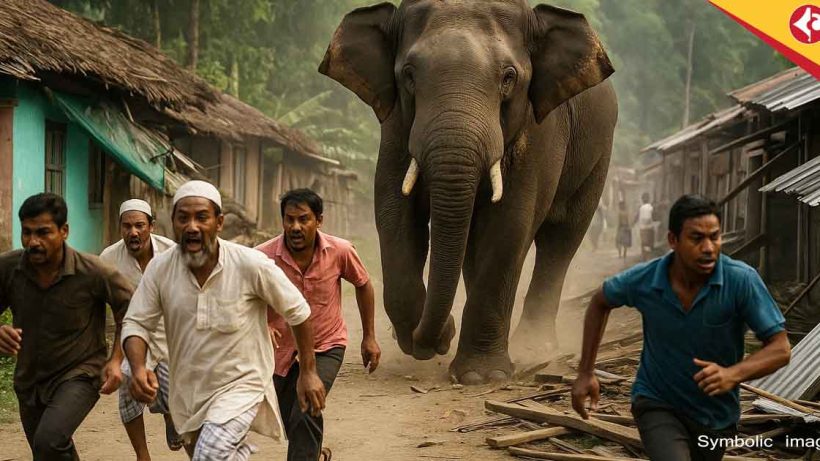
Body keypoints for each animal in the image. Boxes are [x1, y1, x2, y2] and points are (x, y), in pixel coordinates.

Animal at [319, 0, 618, 384]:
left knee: (561, 241)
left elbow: (510, 224)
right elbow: (394, 214)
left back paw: (535, 346)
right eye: (409, 75)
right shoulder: (396, 125)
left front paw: (481, 376)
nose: (438, 334)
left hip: (598, 156)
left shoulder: (540, 131)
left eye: (509, 77)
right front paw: (431, 340)